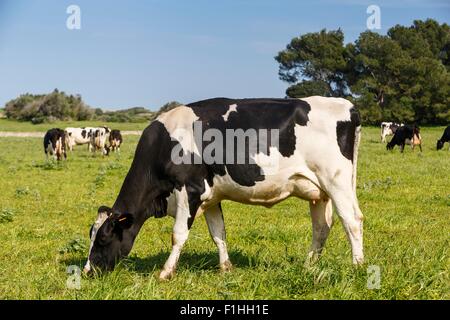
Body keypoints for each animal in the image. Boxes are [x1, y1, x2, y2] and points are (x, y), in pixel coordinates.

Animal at [85, 96, 366, 278]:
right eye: (91, 235)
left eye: (103, 238)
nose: (88, 271)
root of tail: (347, 105)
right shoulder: (211, 196)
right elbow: (218, 233)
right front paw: (226, 268)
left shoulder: (190, 190)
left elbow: (178, 234)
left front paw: (165, 272)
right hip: (319, 192)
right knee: (321, 227)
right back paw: (308, 266)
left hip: (336, 181)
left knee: (352, 220)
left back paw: (358, 266)